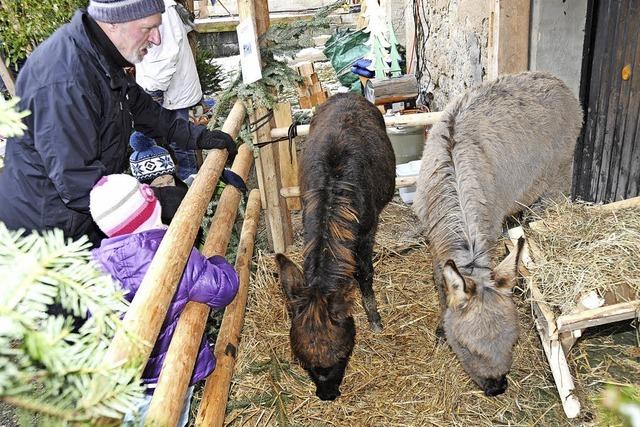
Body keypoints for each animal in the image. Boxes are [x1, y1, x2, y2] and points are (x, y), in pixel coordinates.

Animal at [276, 92, 396, 402]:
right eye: (303, 362)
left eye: (343, 357)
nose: (327, 395)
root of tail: (347, 94)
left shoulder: (366, 233)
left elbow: (364, 274)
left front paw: (374, 319)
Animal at [412, 71, 584, 398]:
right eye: (466, 347)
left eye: (513, 340)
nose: (497, 388)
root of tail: (552, 78)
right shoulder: (433, 242)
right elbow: (441, 284)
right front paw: (441, 324)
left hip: (559, 173)